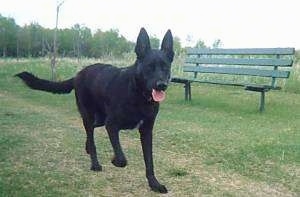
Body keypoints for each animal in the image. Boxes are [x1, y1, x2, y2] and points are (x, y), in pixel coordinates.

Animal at [15, 28, 173, 193]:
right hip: (90, 116)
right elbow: (122, 158)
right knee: (91, 139)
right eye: (149, 67)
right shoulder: (112, 125)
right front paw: (114, 160)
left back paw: (87, 149)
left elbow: (149, 161)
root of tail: (78, 75)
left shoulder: (146, 131)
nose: (162, 85)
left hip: (99, 119)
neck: (138, 93)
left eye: (165, 67)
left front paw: (154, 184)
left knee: (90, 135)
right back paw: (95, 163)